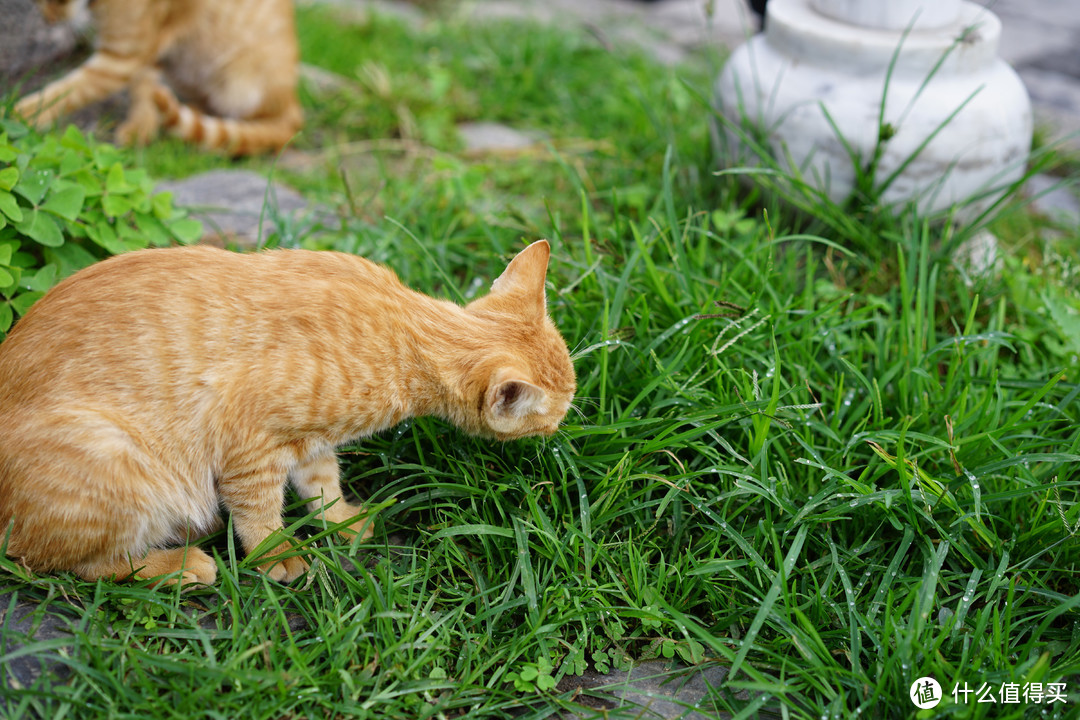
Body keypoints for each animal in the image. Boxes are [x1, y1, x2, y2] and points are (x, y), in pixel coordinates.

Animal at [0, 240, 574, 587]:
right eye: (552, 416)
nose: (559, 431)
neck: (406, 329)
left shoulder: (310, 442)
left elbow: (322, 483)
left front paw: (340, 520)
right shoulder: (248, 441)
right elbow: (259, 513)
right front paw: (277, 554)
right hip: (114, 457)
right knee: (60, 561)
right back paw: (177, 564)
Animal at [14, 0, 304, 156]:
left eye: (59, 0)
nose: (49, 20)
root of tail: (293, 103)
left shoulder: (123, 56)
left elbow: (67, 91)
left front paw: (19, 115)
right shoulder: (148, 47)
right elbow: (144, 84)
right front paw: (142, 126)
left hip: (239, 81)